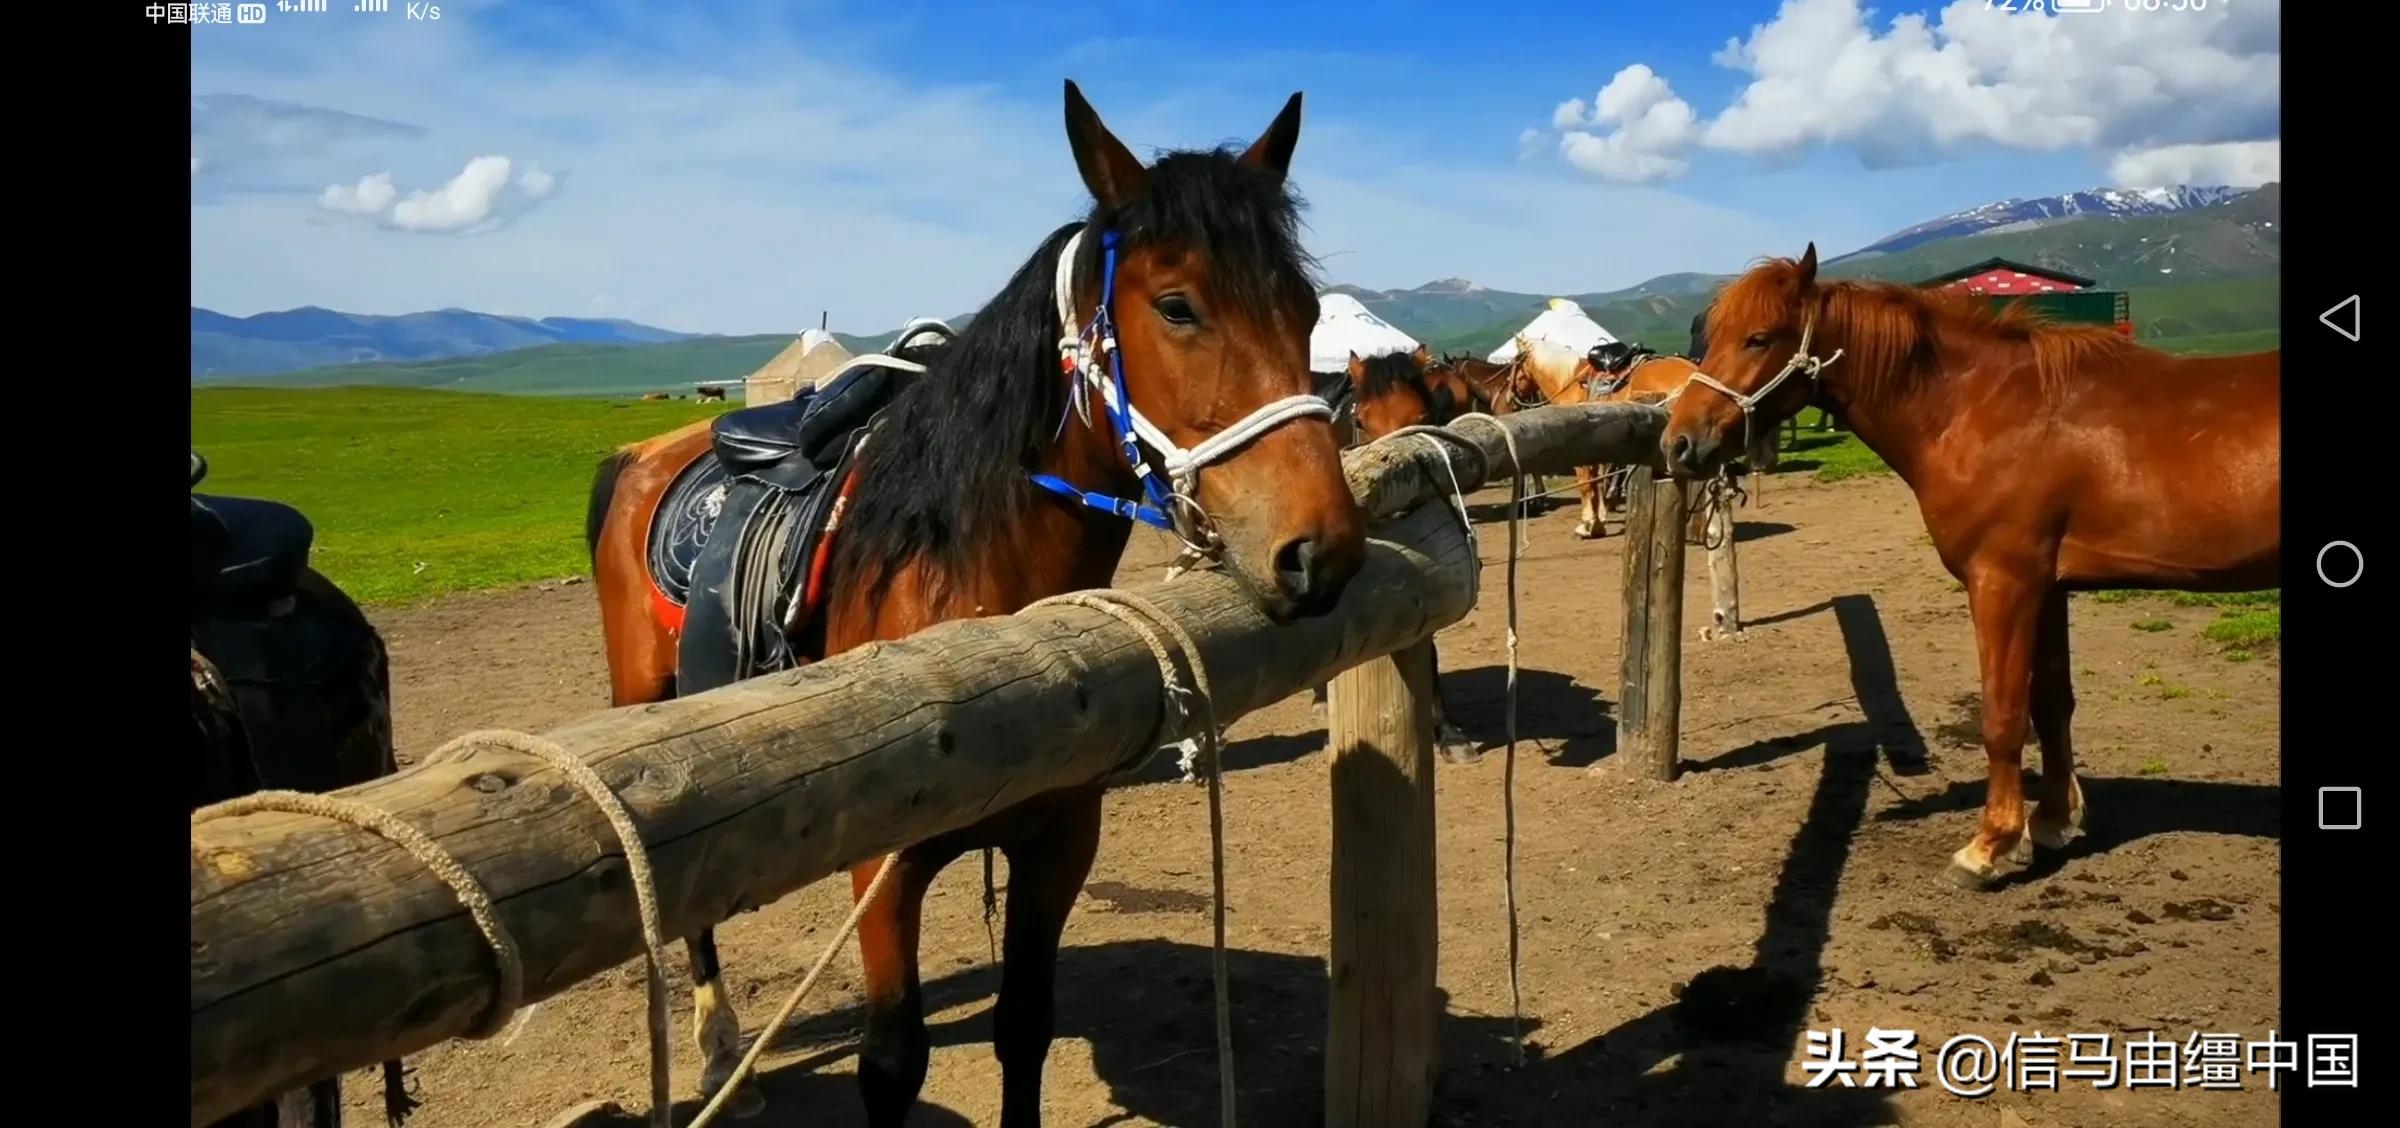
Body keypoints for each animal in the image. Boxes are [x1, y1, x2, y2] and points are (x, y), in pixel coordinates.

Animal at [585, 84, 1372, 1123]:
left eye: (1308, 310)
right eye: (1177, 305)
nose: (1321, 548)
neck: (989, 624)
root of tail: (642, 454)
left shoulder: (1058, 848)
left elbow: (1023, 1030)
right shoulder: (883, 872)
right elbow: (891, 1063)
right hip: (649, 710)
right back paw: (720, 1055)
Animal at [1660, 242, 2275, 888]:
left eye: (1758, 338)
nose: (1678, 443)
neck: (1990, 410)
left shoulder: (2003, 584)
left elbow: (2003, 717)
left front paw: (1989, 845)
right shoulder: (2049, 588)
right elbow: (2051, 704)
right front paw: (2051, 822)